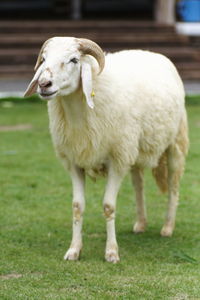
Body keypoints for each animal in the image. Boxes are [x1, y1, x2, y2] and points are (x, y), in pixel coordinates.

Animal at [23, 37, 189, 262]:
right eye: (44, 59)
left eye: (74, 60)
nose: (43, 84)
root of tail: (148, 51)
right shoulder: (75, 162)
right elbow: (77, 207)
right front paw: (74, 250)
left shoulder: (117, 161)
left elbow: (109, 207)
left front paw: (111, 252)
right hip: (134, 149)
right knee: (138, 185)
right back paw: (141, 223)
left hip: (174, 144)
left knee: (173, 185)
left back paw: (167, 227)